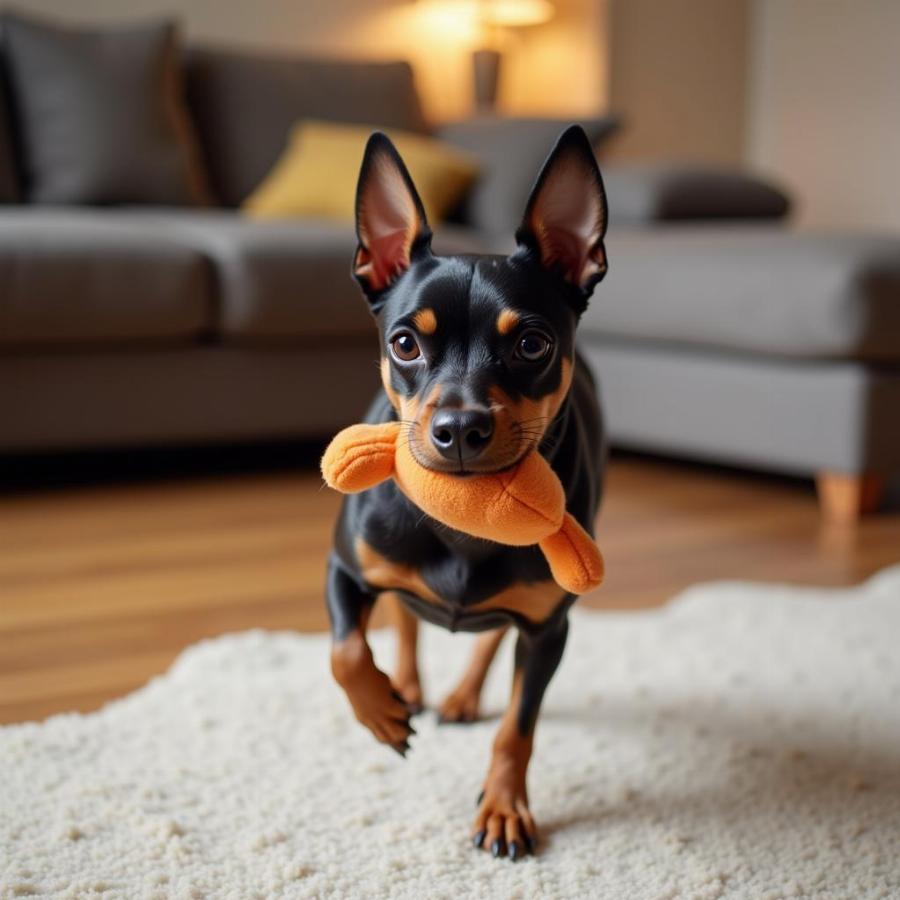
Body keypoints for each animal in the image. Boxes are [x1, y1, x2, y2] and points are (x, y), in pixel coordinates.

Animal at [326, 125, 608, 856]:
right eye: (405, 344)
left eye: (533, 344)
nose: (458, 428)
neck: (464, 524)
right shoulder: (345, 568)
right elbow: (346, 651)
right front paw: (381, 713)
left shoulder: (550, 630)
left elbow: (518, 729)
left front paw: (505, 807)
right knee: (402, 620)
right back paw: (407, 687)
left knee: (486, 637)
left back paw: (461, 693)